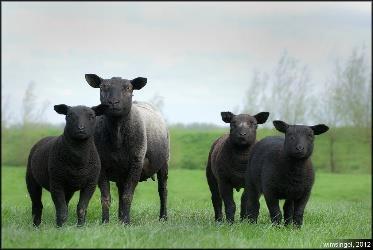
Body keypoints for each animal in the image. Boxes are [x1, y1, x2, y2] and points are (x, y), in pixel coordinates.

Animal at [84, 73, 169, 224]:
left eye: (129, 88)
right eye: (102, 87)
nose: (113, 102)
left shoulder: (136, 163)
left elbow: (127, 196)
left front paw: (127, 223)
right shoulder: (102, 166)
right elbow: (106, 197)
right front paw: (105, 222)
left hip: (164, 162)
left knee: (163, 190)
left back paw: (163, 217)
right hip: (121, 172)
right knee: (120, 191)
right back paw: (119, 218)